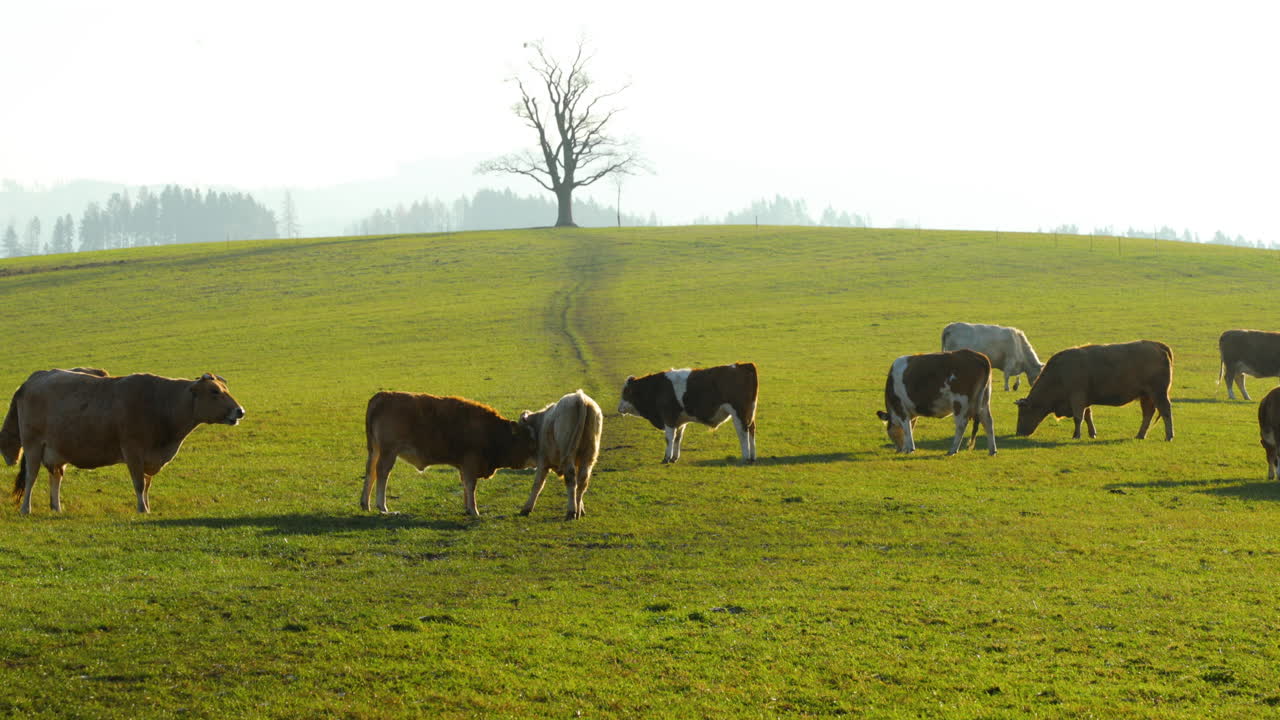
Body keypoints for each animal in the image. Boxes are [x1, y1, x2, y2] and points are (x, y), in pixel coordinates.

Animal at [3, 369, 244, 514]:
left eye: (225, 389)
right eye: (214, 391)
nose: (240, 411)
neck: (161, 403)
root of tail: (34, 378)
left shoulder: (149, 457)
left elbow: (147, 484)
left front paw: (147, 506)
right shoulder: (133, 451)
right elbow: (139, 483)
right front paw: (142, 509)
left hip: (58, 449)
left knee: (55, 477)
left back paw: (57, 507)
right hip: (33, 446)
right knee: (31, 477)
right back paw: (26, 509)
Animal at [362, 392, 537, 517]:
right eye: (528, 440)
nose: (538, 457)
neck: (491, 431)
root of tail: (381, 396)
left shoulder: (464, 466)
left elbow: (466, 485)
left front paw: (467, 508)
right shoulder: (470, 463)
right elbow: (470, 485)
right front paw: (474, 511)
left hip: (375, 451)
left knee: (370, 472)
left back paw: (365, 504)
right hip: (388, 452)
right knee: (382, 473)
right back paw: (382, 506)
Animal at [518, 390, 603, 520]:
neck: (540, 425)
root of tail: (579, 397)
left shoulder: (543, 462)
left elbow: (537, 485)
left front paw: (526, 508)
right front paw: (582, 509)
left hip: (567, 454)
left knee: (571, 479)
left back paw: (571, 512)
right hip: (588, 456)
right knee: (582, 481)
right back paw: (578, 511)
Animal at [617, 362, 758, 464]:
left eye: (626, 392)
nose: (619, 408)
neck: (658, 388)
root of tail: (743, 365)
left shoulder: (668, 418)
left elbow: (669, 438)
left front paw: (666, 458)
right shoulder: (679, 421)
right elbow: (677, 438)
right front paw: (674, 458)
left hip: (739, 412)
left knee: (743, 433)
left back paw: (745, 457)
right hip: (750, 413)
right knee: (751, 430)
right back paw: (752, 457)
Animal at [1014, 340, 1174, 441]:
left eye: (1022, 413)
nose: (1018, 433)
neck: (1059, 373)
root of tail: (1157, 345)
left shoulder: (1077, 397)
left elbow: (1078, 417)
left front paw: (1076, 435)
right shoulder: (1085, 400)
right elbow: (1087, 416)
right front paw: (1092, 434)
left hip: (1158, 393)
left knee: (1165, 411)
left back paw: (1169, 436)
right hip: (1146, 396)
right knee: (1148, 414)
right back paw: (1140, 435)